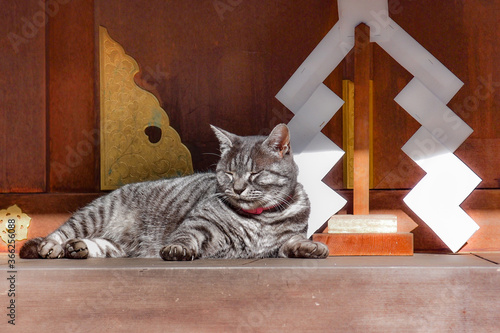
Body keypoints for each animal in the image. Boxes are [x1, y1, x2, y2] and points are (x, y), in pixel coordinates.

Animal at [19, 124, 330, 260]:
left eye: (254, 174)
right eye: (229, 174)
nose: (238, 188)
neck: (260, 219)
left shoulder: (282, 242)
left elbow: (293, 242)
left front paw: (310, 247)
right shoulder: (200, 223)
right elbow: (185, 236)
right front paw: (177, 249)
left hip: (117, 245)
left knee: (99, 245)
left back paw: (79, 248)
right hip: (92, 216)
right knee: (59, 233)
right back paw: (51, 247)